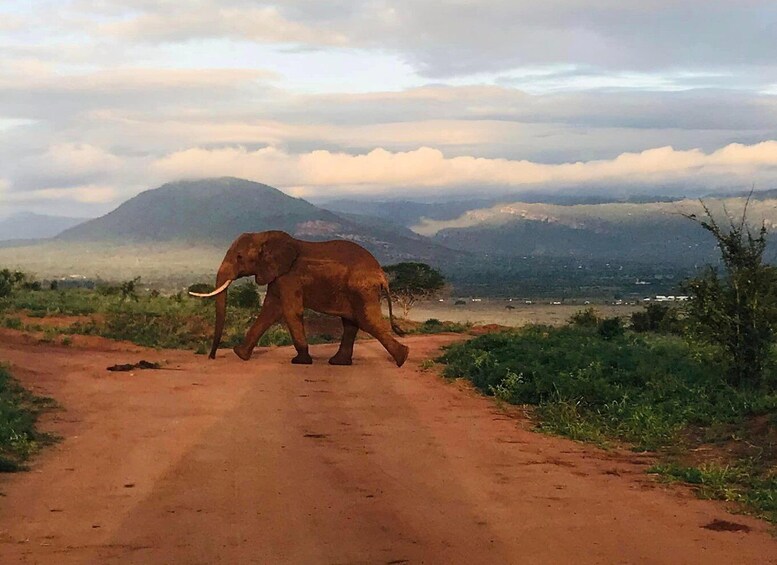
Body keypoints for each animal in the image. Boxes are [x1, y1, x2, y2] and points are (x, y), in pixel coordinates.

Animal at [190, 229, 410, 366]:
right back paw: (339, 363)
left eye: (239, 257)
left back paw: (402, 358)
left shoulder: (290, 277)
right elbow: (269, 310)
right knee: (351, 323)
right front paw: (240, 354)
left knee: (366, 321)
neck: (265, 236)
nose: (212, 357)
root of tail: (381, 274)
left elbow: (289, 311)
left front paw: (300, 361)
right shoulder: (277, 276)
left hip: (362, 289)